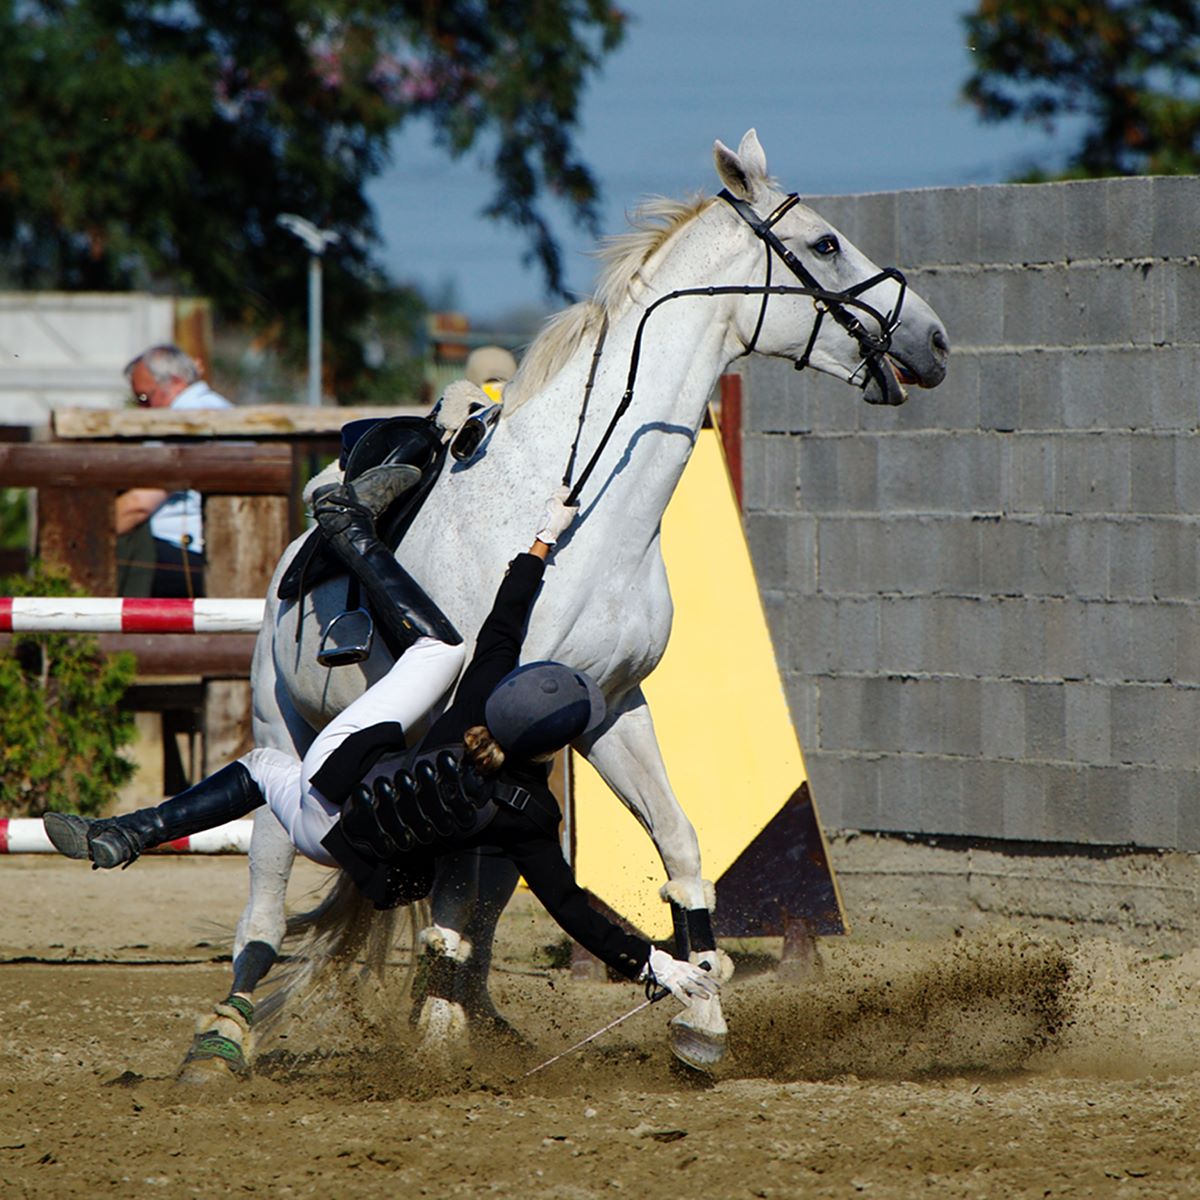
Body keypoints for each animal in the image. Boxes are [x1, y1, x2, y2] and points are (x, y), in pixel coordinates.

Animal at [182, 128, 949, 1080]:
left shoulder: (609, 710)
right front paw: (441, 1046)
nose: (934, 339)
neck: (584, 510)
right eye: (826, 244)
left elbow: (679, 848)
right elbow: (450, 897)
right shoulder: (464, 727)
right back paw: (223, 1037)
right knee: (264, 905)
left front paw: (702, 1016)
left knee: (474, 896)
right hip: (279, 731)